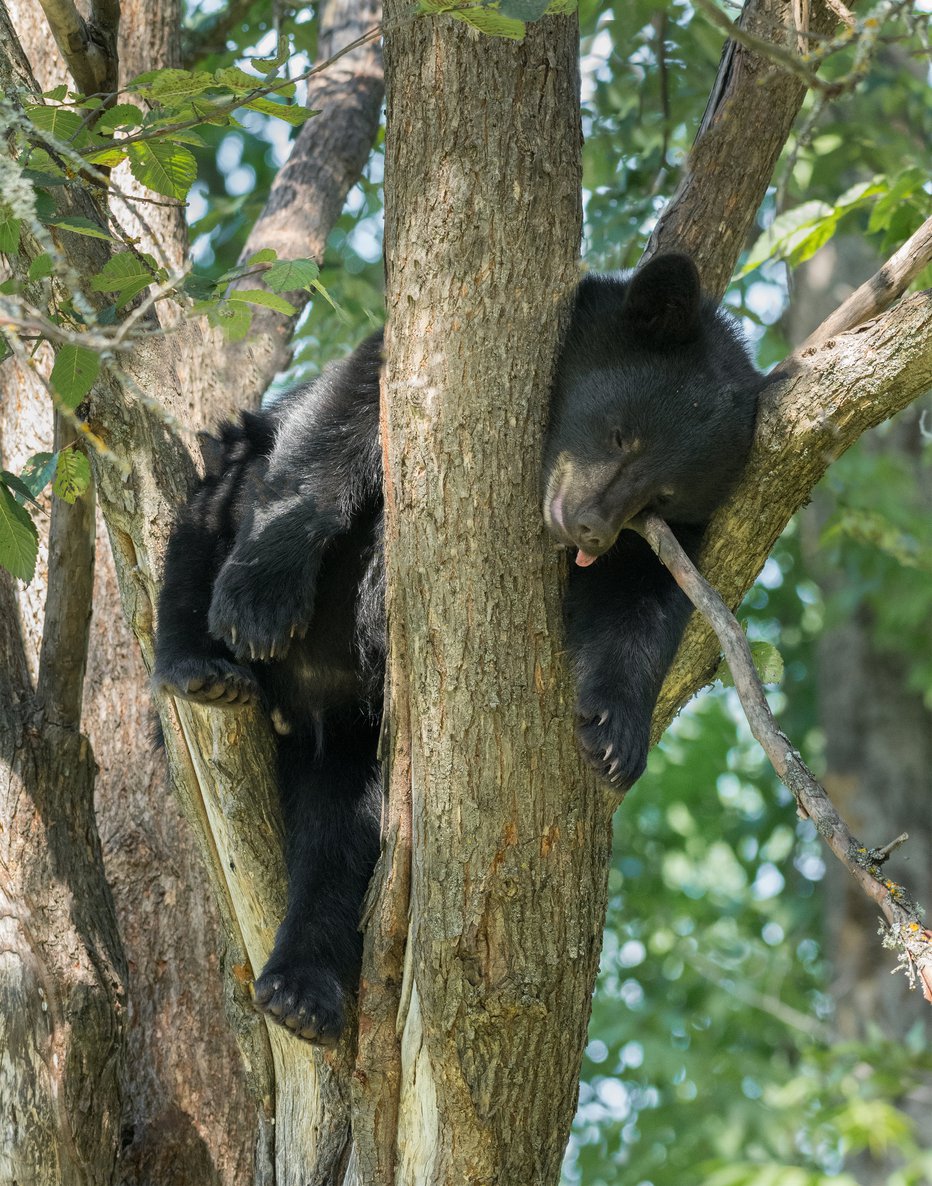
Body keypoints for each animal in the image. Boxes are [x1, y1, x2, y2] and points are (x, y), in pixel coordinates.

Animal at [152, 252, 758, 1048]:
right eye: (621, 434)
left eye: (659, 497)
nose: (590, 529)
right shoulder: (403, 364)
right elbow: (334, 431)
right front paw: (259, 599)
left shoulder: (674, 542)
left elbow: (642, 606)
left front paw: (614, 733)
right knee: (208, 517)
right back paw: (203, 668)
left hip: (360, 741)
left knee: (345, 838)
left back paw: (302, 993)